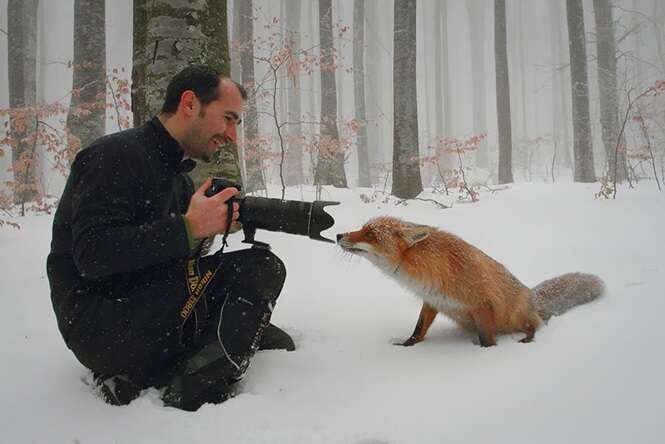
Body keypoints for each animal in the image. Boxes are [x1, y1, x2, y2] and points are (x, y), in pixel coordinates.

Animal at [338, 216, 600, 346]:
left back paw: (528, 337)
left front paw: (485, 355)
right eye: (362, 228)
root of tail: (533, 296)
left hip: (516, 316)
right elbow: (418, 329)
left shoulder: (482, 304)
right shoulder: (432, 300)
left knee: (535, 325)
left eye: (370, 234)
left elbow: (487, 339)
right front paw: (407, 346)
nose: (339, 235)